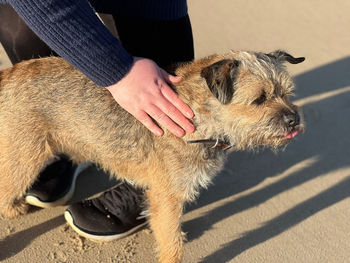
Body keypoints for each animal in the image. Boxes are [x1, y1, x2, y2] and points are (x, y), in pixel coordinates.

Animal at [0, 50, 304, 262]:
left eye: (287, 93)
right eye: (259, 99)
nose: (294, 120)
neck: (199, 115)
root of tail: (8, 74)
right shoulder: (166, 198)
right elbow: (172, 242)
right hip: (23, 157)